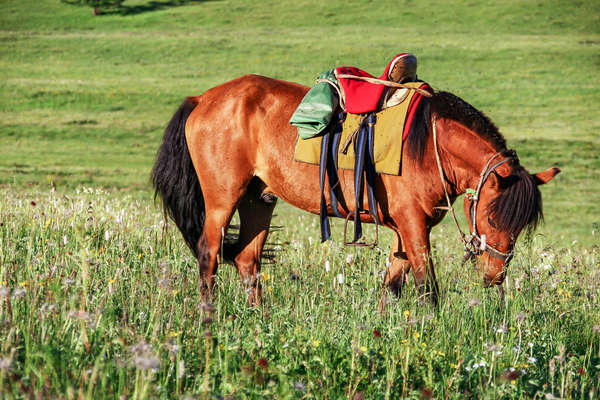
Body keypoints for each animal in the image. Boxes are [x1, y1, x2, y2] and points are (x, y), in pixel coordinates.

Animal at [151, 74, 564, 306]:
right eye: (492, 217)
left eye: (520, 227)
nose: (495, 276)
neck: (429, 144)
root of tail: (203, 99)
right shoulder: (414, 227)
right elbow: (427, 289)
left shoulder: (406, 230)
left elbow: (392, 287)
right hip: (223, 199)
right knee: (209, 255)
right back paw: (209, 319)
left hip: (258, 199)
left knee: (247, 261)